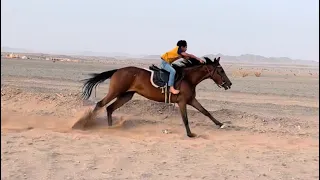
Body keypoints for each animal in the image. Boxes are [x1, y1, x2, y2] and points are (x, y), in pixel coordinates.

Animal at [77, 57, 232, 137]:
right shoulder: (182, 102)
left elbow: (206, 112)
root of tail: (117, 70)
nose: (229, 83)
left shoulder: (191, 100)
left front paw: (221, 124)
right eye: (221, 71)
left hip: (126, 95)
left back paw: (110, 128)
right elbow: (185, 118)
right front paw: (190, 134)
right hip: (115, 91)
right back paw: (84, 124)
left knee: (109, 108)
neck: (188, 78)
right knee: (100, 104)